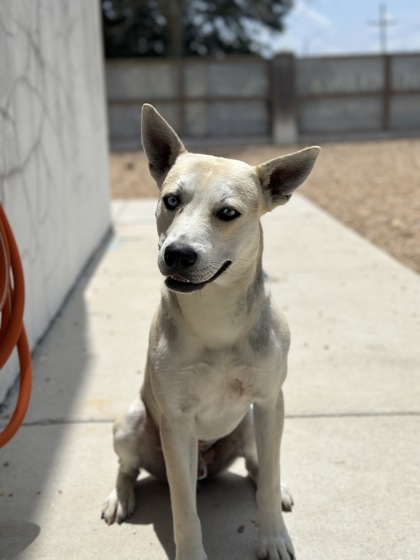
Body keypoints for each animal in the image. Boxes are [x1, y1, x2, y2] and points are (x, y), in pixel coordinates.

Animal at [101, 106, 318, 560]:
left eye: (228, 213)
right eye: (171, 200)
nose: (178, 254)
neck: (215, 315)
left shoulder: (270, 400)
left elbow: (269, 477)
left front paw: (274, 537)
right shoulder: (176, 423)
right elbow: (183, 505)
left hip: (253, 422)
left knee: (259, 465)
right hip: (132, 422)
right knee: (127, 467)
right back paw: (120, 496)